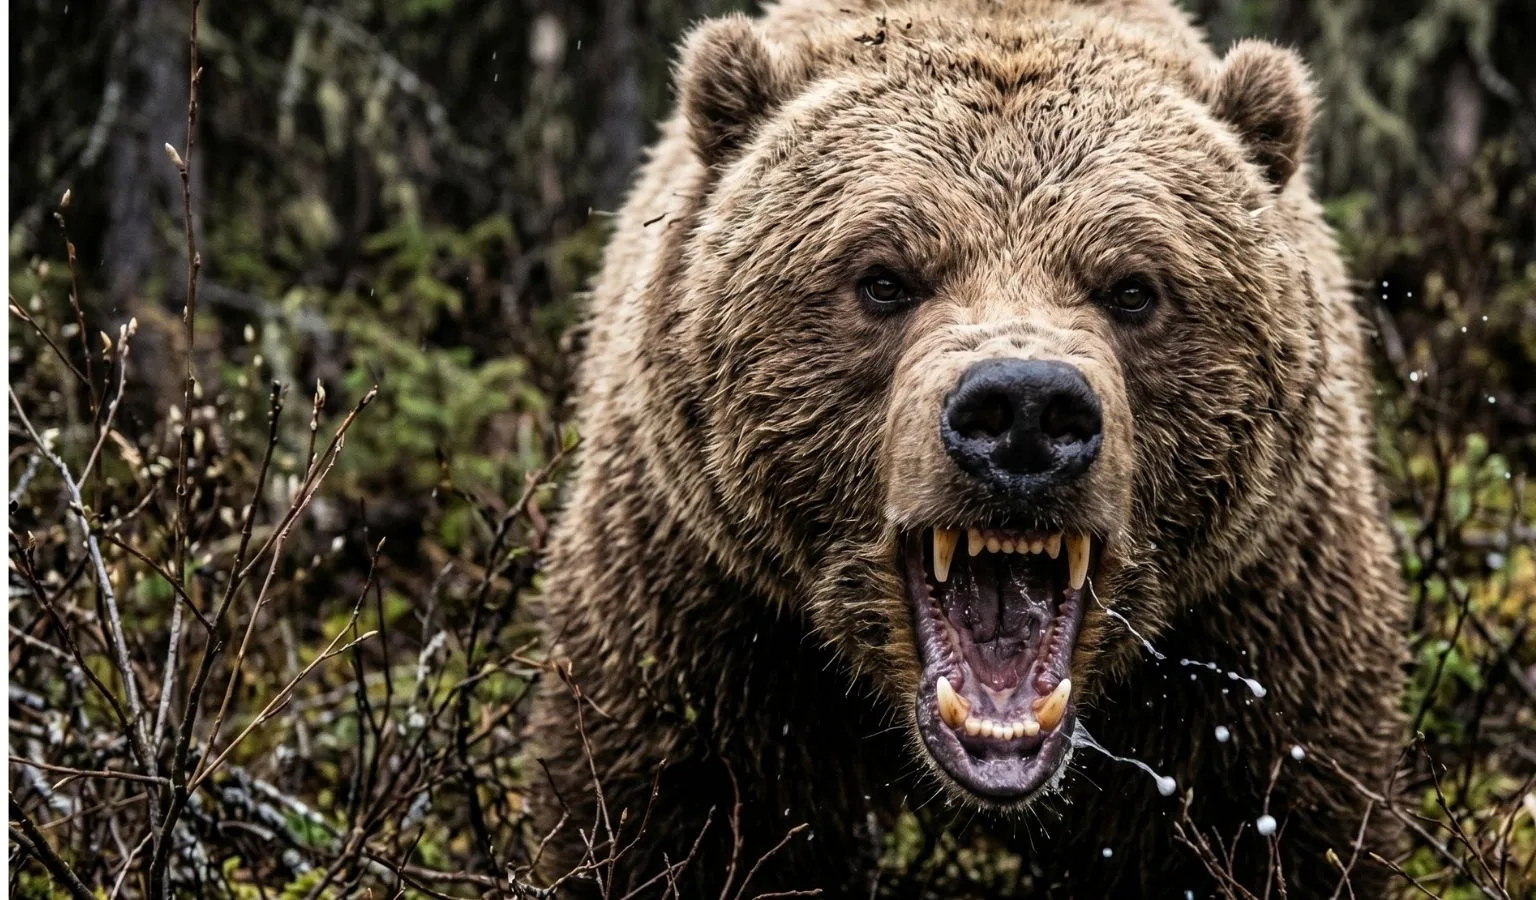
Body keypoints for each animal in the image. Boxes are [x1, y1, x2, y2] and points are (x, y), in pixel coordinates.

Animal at [528, 0, 1408, 896]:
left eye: (1134, 287)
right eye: (884, 278)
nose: (1023, 410)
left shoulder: (1252, 634)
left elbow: (1276, 819)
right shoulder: (704, 619)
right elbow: (666, 823)